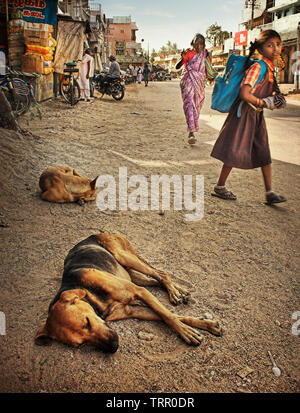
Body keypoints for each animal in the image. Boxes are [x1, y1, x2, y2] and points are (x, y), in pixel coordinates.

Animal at [35, 233, 223, 352]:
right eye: (80, 344)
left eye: (87, 322)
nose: (113, 347)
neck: (95, 301)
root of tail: (96, 233)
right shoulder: (133, 310)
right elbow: (170, 316)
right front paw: (204, 325)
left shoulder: (139, 292)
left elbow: (168, 315)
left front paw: (187, 332)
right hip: (131, 274)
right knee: (157, 279)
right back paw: (179, 291)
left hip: (125, 258)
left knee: (161, 274)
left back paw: (175, 293)